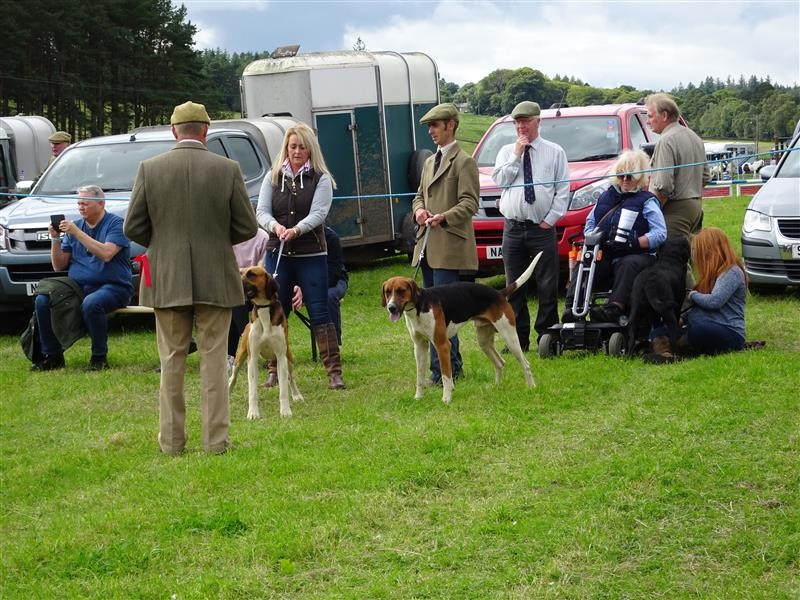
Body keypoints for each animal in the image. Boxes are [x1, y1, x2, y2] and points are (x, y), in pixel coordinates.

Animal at [228, 266, 303, 418]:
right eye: (241, 272)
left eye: (251, 274)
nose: (233, 282)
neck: (264, 308)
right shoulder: (252, 359)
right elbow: (252, 391)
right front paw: (253, 413)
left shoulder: (281, 357)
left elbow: (284, 390)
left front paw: (285, 411)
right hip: (239, 358)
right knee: (232, 378)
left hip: (288, 358)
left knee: (291, 378)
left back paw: (296, 395)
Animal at [381, 253, 541, 404]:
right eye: (388, 292)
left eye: (401, 291)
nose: (391, 307)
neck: (420, 307)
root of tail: (499, 293)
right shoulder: (419, 346)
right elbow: (420, 377)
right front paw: (418, 397)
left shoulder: (442, 345)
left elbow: (446, 376)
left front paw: (446, 399)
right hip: (484, 341)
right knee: (500, 363)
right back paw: (497, 387)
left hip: (510, 338)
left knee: (526, 364)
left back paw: (532, 387)